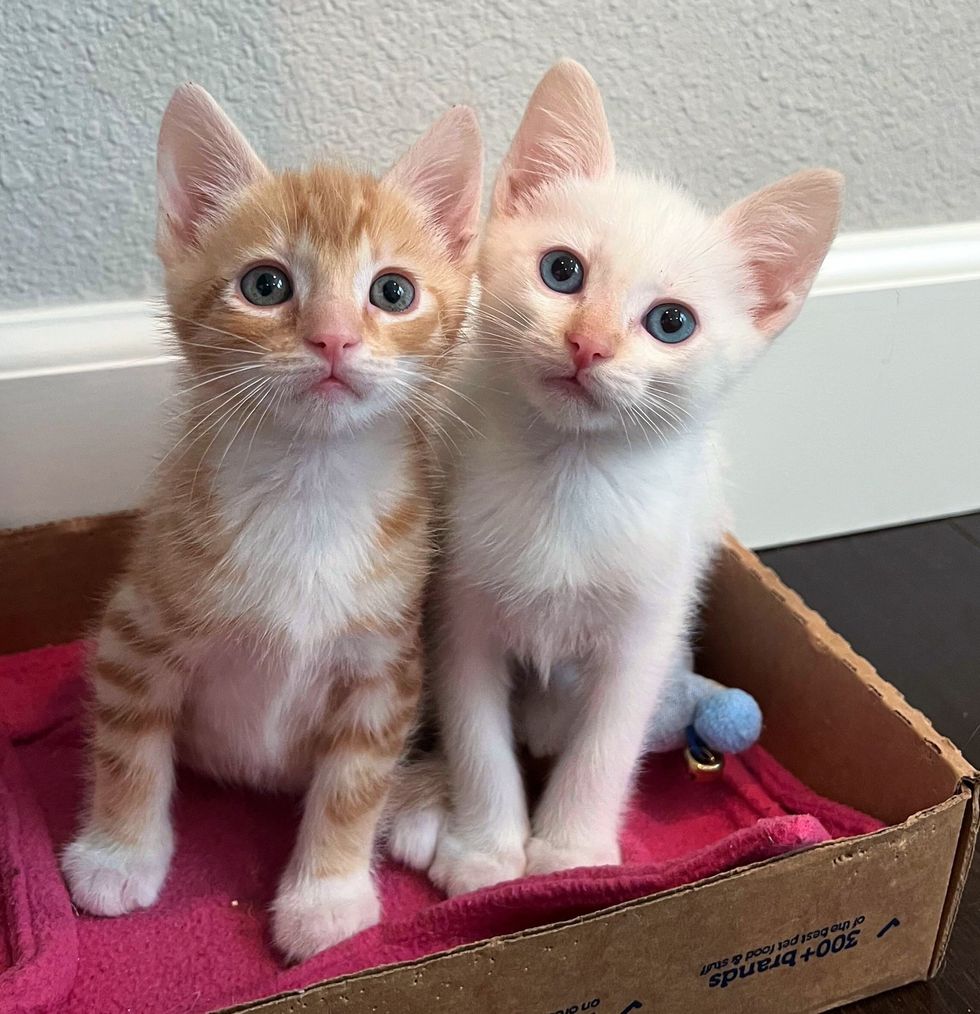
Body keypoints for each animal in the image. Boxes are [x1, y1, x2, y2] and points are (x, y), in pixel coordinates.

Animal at [61, 85, 482, 957]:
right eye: (266, 285)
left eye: (393, 292)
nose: (334, 338)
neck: (309, 486)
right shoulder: (134, 630)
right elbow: (127, 748)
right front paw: (118, 855)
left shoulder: (385, 664)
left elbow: (354, 782)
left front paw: (328, 894)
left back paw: (421, 800)